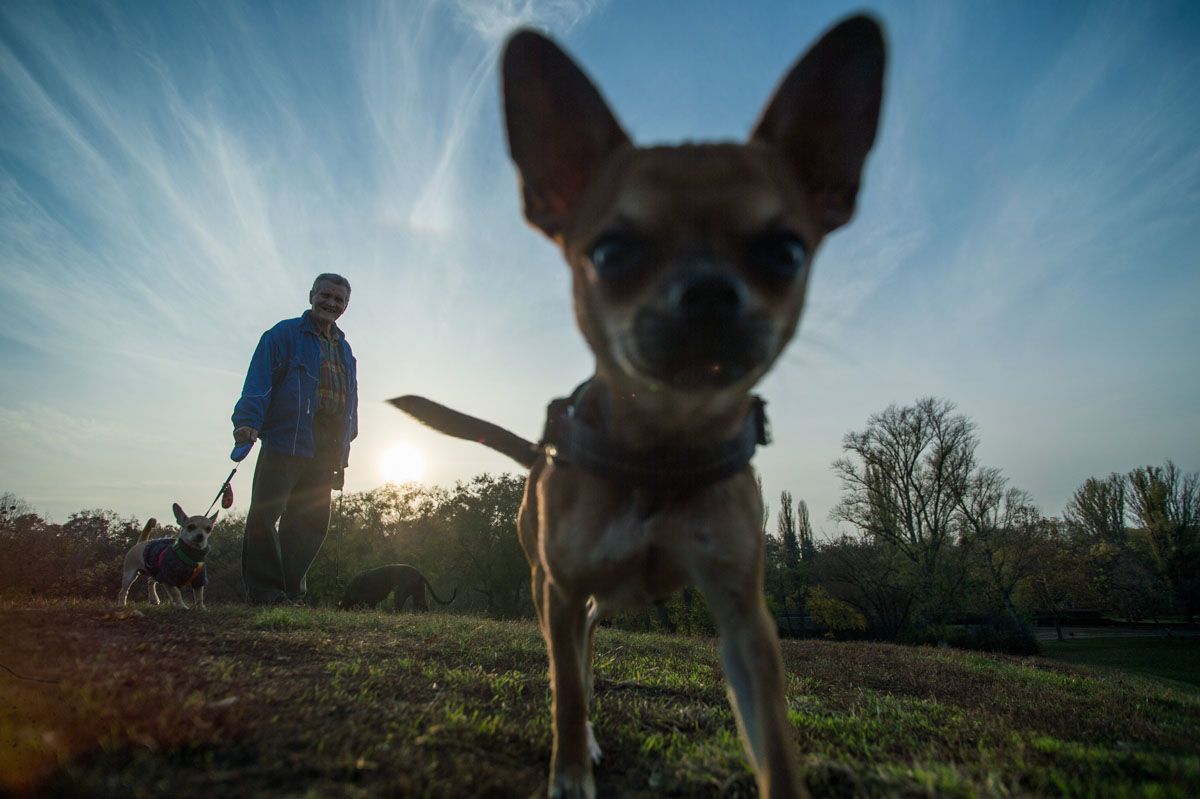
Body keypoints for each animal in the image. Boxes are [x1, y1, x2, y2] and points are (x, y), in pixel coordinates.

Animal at [392, 16, 884, 799]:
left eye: (785, 251)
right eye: (612, 251)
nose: (709, 291)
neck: (662, 447)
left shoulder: (745, 619)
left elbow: (775, 742)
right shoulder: (558, 591)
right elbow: (565, 692)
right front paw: (568, 771)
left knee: (589, 647)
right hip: (553, 587)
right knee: (572, 661)